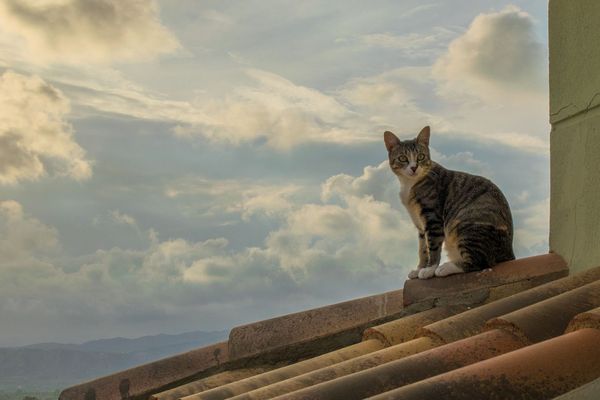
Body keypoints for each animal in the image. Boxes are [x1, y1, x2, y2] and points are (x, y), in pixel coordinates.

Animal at [384, 126, 516, 280]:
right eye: (403, 158)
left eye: (421, 156)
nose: (414, 167)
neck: (410, 184)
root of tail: (509, 252)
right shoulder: (420, 225)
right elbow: (422, 249)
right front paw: (419, 269)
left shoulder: (433, 218)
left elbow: (433, 246)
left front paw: (429, 269)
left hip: (465, 226)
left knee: (480, 262)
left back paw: (445, 267)